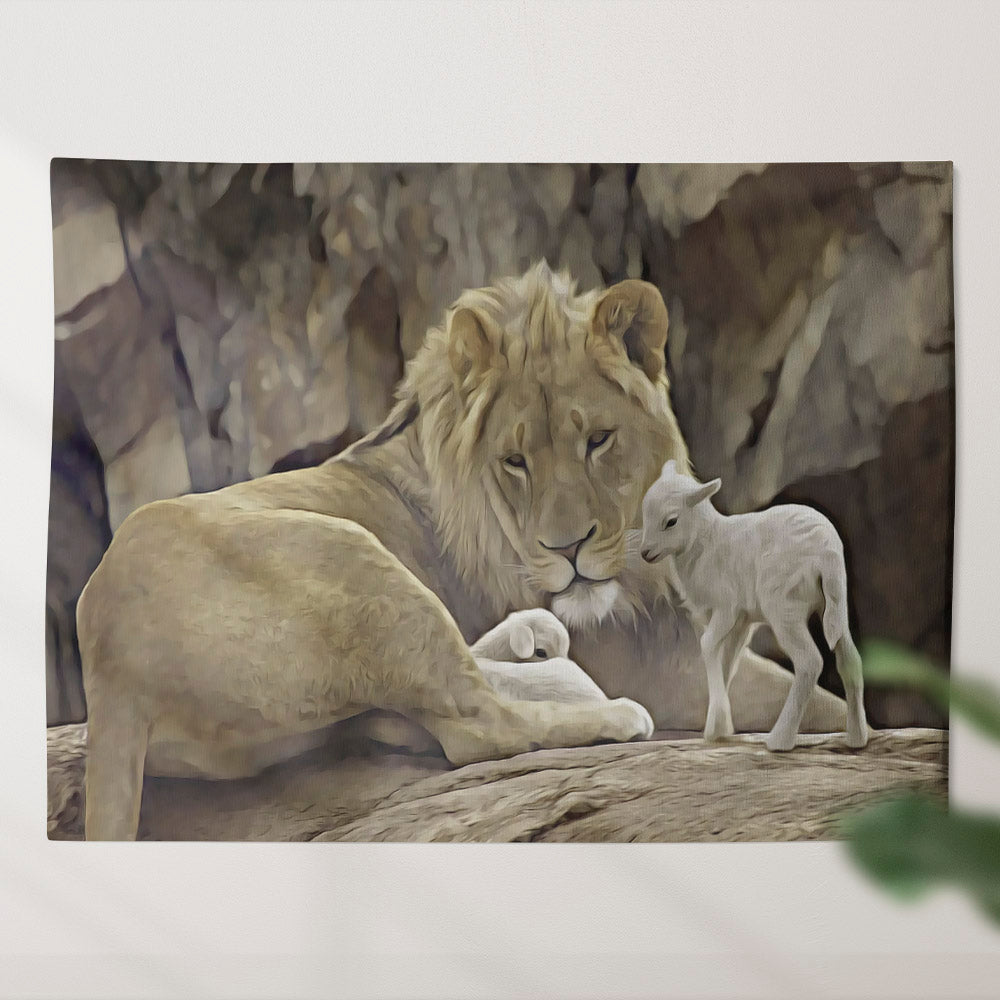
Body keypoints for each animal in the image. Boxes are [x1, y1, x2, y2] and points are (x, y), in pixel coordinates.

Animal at [639, 460, 868, 751]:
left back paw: (779, 740)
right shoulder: (742, 621)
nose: (645, 553)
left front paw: (717, 724)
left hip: (783, 606)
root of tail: (827, 552)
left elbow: (707, 645)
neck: (706, 542)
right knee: (850, 658)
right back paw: (856, 738)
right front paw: (718, 728)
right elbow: (728, 660)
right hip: (835, 604)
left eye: (671, 521)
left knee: (809, 662)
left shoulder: (726, 607)